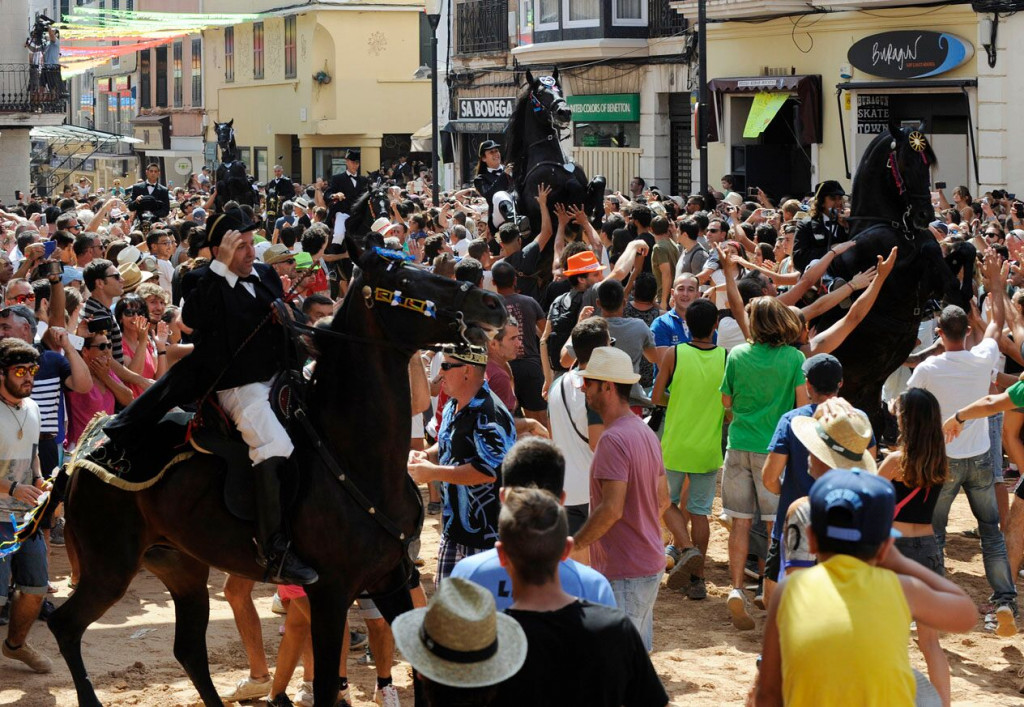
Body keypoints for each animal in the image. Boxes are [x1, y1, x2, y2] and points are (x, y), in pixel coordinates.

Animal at [47, 237, 507, 704]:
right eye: (405, 281)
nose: (492, 303)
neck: (358, 457)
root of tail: (86, 451)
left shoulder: (391, 579)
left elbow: (425, 674)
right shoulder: (330, 592)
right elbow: (326, 684)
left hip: (182, 567)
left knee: (188, 649)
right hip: (110, 568)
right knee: (65, 626)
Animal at [823, 120, 966, 430]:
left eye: (927, 163)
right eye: (905, 162)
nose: (926, 214)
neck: (896, 225)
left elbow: (943, 255)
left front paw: (958, 284)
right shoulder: (892, 279)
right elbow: (923, 252)